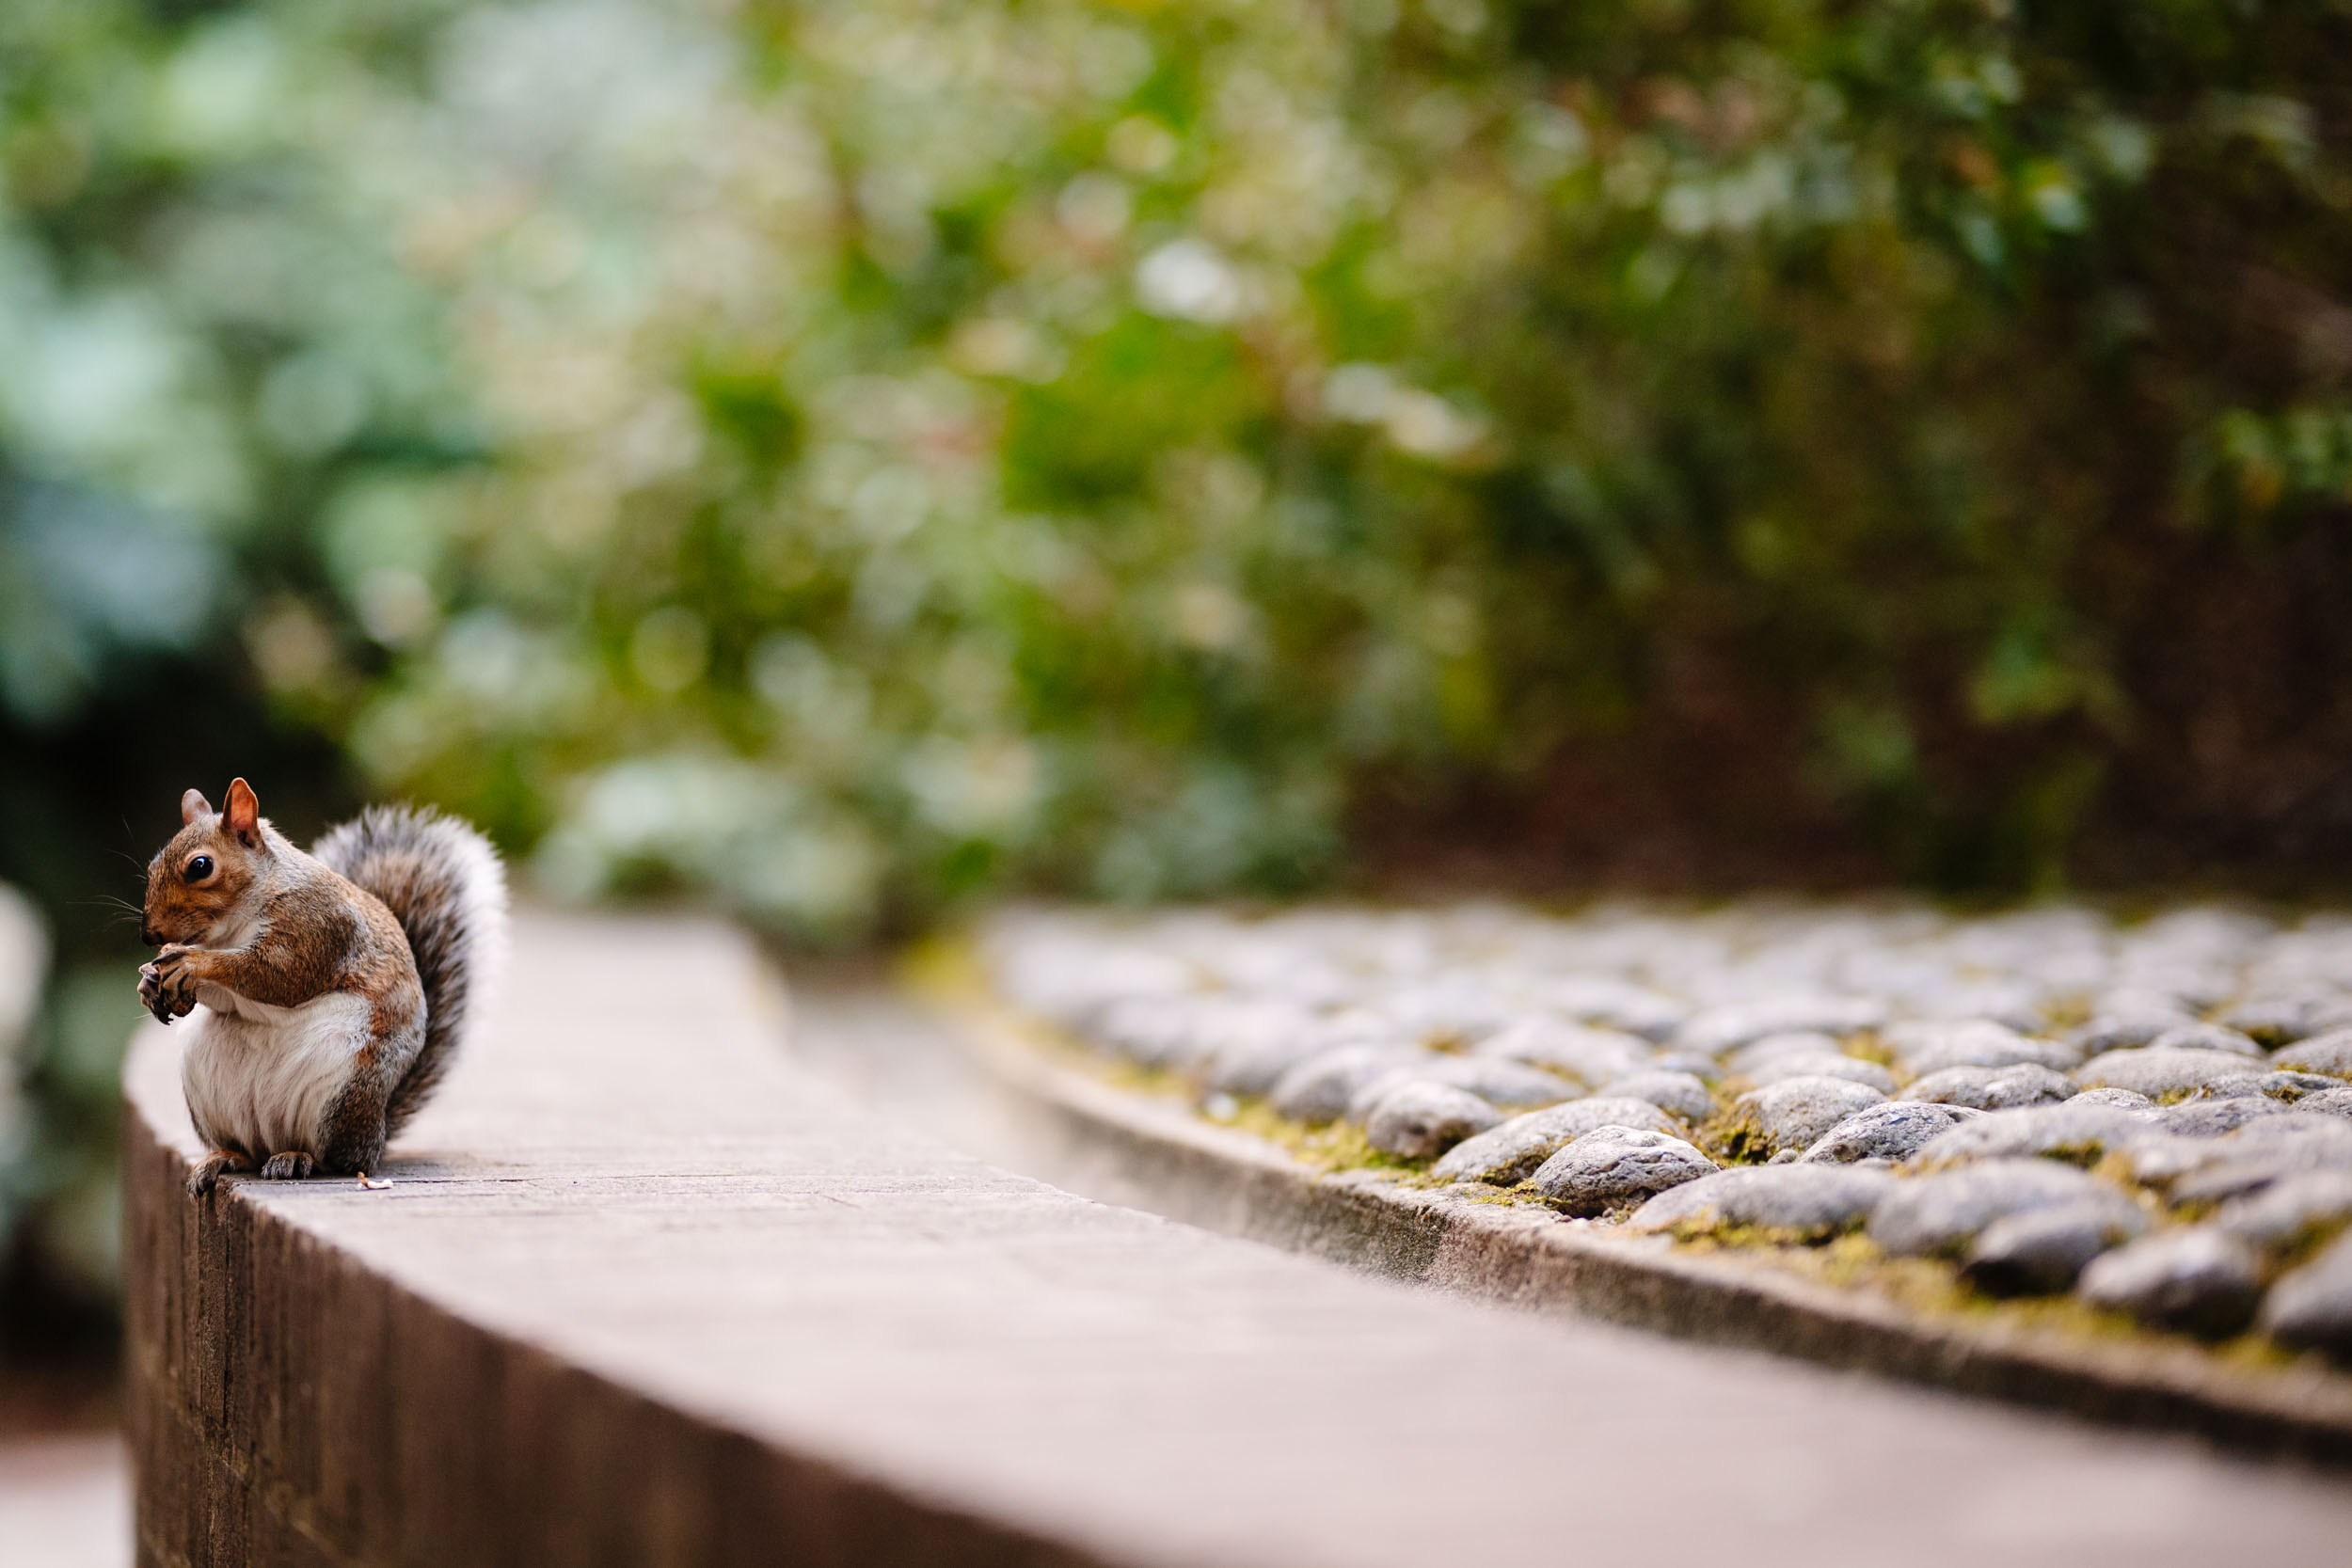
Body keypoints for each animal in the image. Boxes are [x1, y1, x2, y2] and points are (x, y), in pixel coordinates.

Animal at [138, 778, 507, 1195]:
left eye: (200, 866)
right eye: (152, 865)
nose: (148, 933)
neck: (229, 929)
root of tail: (378, 1131)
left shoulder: (318, 927)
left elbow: (277, 975)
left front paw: (193, 962)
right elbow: (223, 996)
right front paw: (151, 980)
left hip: (342, 1092)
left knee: (338, 1160)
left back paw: (300, 1158)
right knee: (249, 1150)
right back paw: (225, 1157)